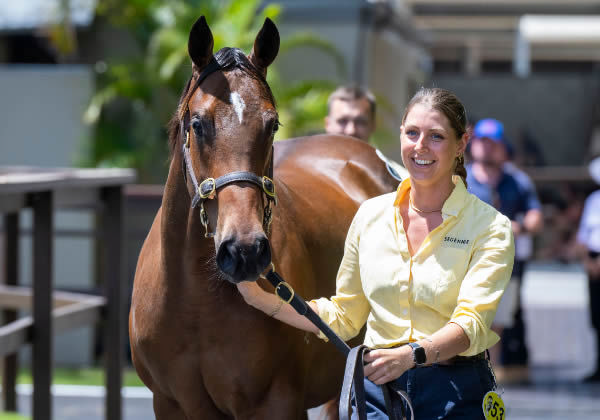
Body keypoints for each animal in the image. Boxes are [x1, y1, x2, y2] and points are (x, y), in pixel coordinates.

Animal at [131, 16, 400, 420]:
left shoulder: (278, 402)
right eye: (198, 124)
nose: (244, 251)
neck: (194, 304)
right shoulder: (170, 404)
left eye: (272, 125)